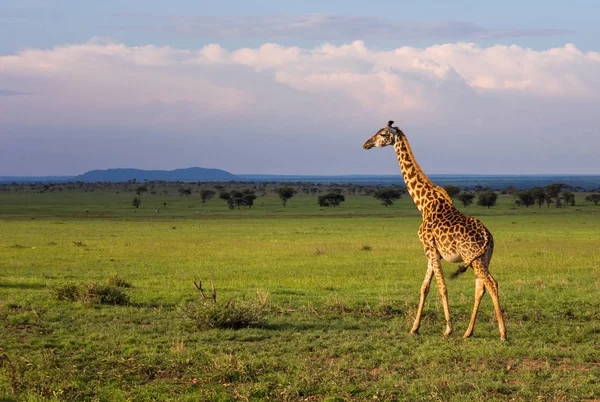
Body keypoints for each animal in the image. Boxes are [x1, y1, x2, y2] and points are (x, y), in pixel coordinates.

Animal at [360, 121, 506, 340]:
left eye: (383, 134)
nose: (366, 144)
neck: (424, 204)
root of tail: (488, 237)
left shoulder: (430, 249)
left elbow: (442, 287)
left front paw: (448, 329)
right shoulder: (431, 252)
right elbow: (424, 287)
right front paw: (414, 328)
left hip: (474, 257)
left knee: (491, 283)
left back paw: (503, 333)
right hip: (483, 258)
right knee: (481, 287)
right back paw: (468, 332)